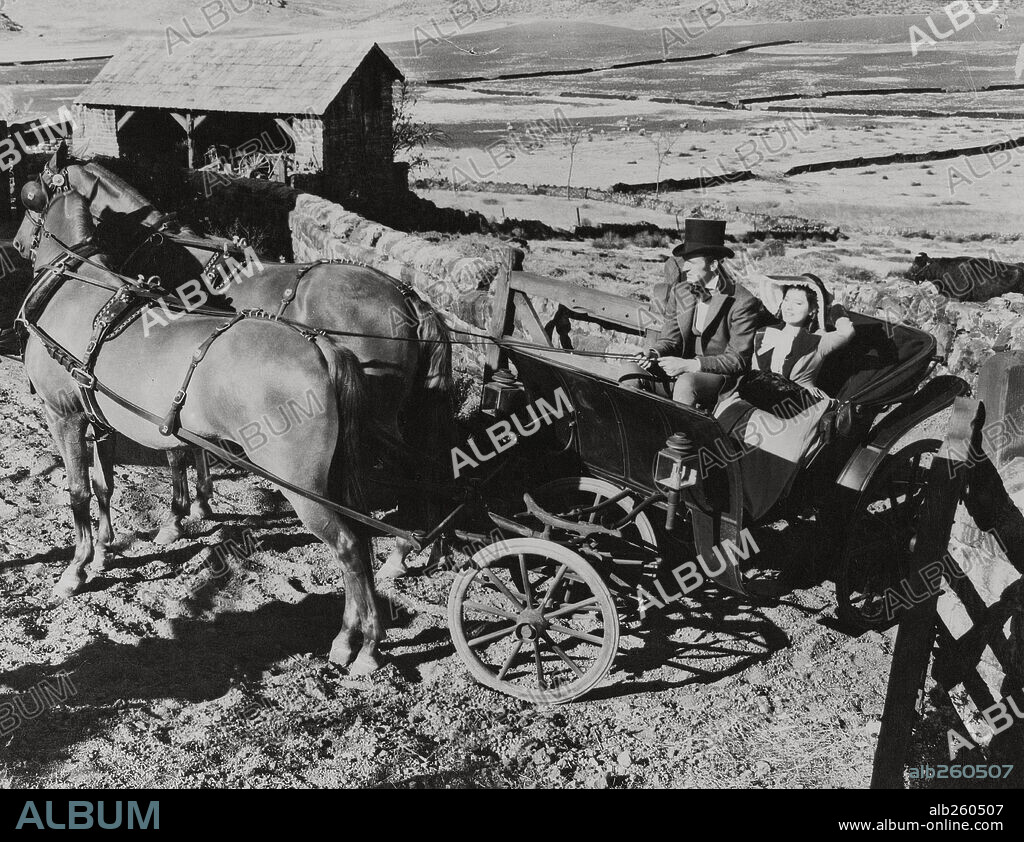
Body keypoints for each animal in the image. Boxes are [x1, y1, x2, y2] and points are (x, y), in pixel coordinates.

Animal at [11, 187, 387, 676]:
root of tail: (320, 345)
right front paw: (103, 551)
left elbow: (78, 493)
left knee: (348, 547)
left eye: (24, 205)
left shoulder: (64, 416)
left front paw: (75, 568)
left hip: (303, 488)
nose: (15, 243)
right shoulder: (100, 420)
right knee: (359, 541)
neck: (78, 286)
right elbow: (104, 485)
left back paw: (359, 645)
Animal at [47, 146, 456, 573]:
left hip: (378, 416)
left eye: (42, 181)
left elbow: (177, 452)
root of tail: (407, 298)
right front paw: (202, 501)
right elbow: (196, 444)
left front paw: (177, 518)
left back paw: (403, 550)